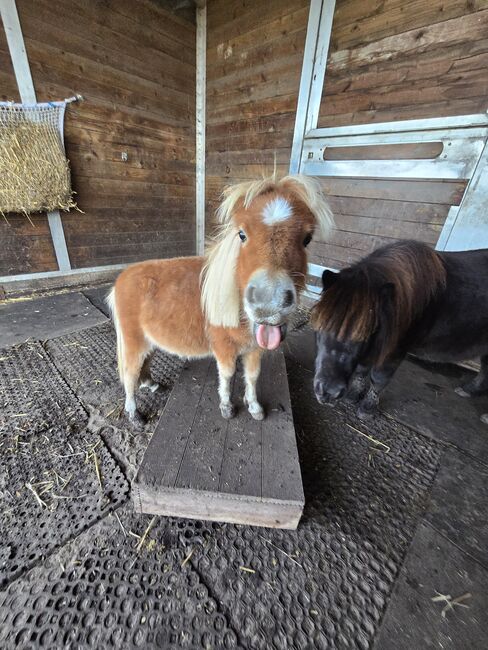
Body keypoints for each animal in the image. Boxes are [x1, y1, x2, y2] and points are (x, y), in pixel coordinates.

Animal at [107, 175, 334, 422]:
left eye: (307, 239)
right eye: (242, 234)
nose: (268, 306)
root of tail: (121, 279)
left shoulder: (254, 350)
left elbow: (252, 376)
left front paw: (254, 407)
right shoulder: (224, 348)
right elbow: (227, 375)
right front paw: (227, 407)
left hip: (148, 341)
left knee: (144, 364)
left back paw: (151, 385)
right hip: (133, 342)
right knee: (130, 374)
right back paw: (134, 413)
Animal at [312, 240, 488, 418]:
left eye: (366, 332)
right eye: (322, 324)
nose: (328, 392)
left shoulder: (395, 351)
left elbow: (378, 378)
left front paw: (367, 408)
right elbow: (362, 370)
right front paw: (353, 396)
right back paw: (468, 390)